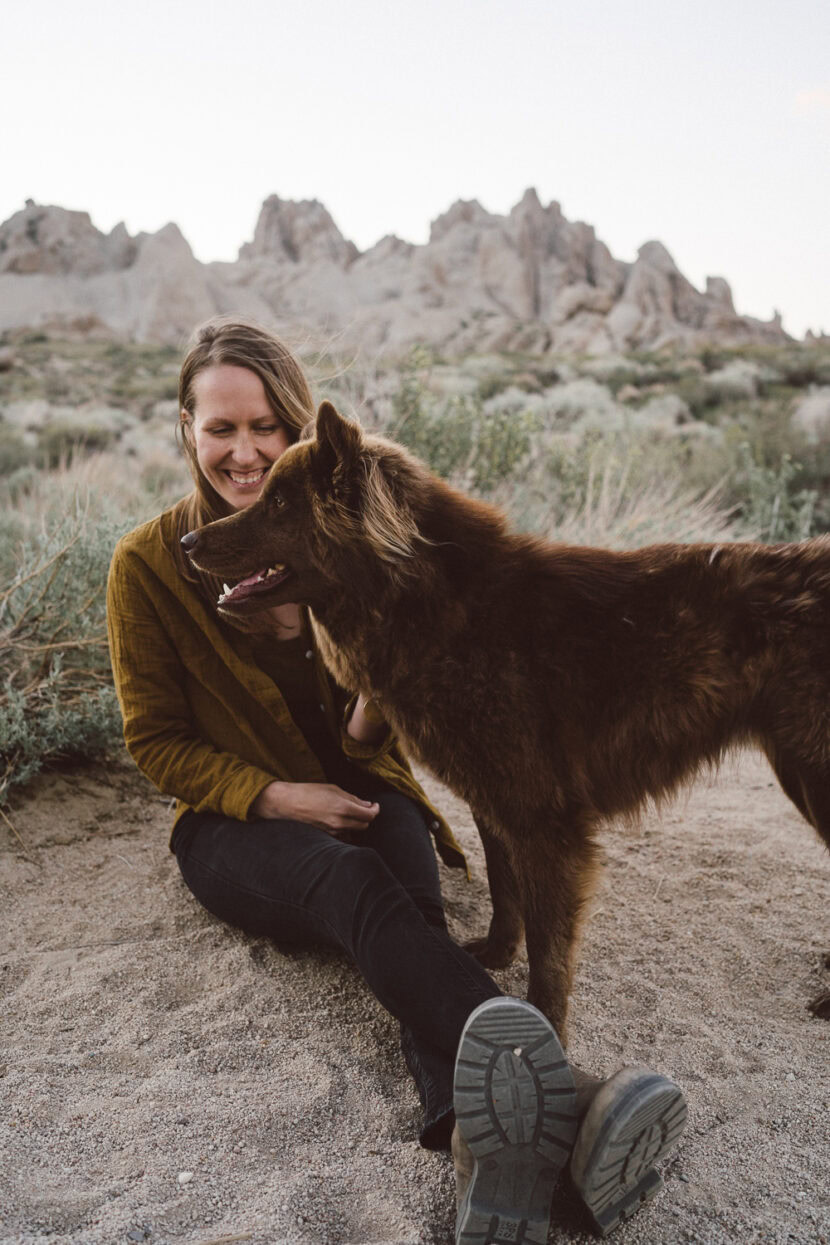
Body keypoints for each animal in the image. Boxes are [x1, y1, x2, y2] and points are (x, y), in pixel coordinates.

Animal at [182, 403, 830, 1035]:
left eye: (279, 503)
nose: (186, 540)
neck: (433, 605)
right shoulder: (495, 802)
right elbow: (503, 889)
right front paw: (495, 956)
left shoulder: (544, 823)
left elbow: (548, 950)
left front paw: (545, 1030)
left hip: (810, 774)